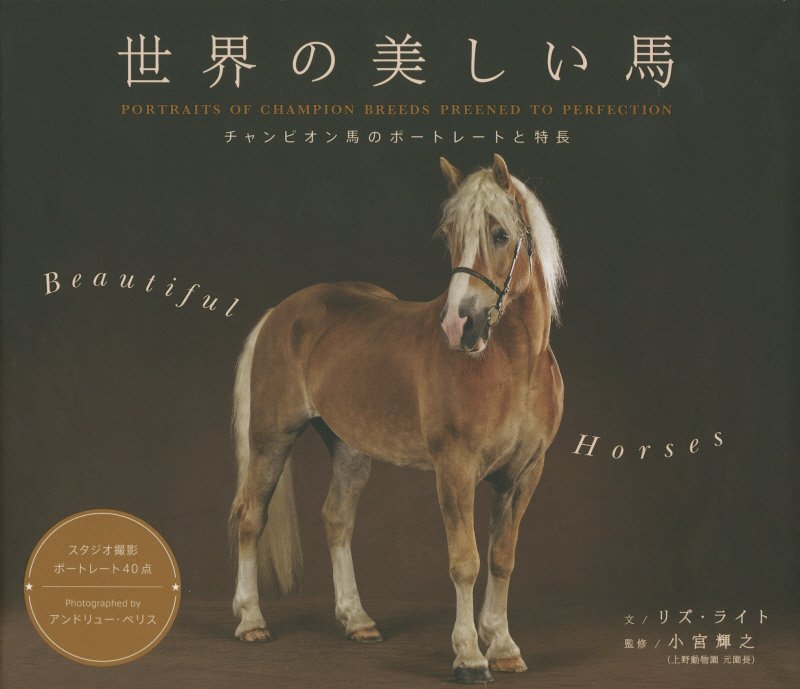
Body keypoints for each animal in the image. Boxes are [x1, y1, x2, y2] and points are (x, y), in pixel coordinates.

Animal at [228, 154, 564, 684]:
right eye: (450, 235)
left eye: (499, 234)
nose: (458, 325)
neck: (513, 367)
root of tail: (281, 311)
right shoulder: (456, 469)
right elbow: (466, 561)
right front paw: (470, 656)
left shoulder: (524, 474)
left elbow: (502, 559)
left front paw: (503, 646)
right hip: (271, 440)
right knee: (250, 517)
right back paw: (251, 622)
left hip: (349, 449)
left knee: (337, 519)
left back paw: (357, 620)